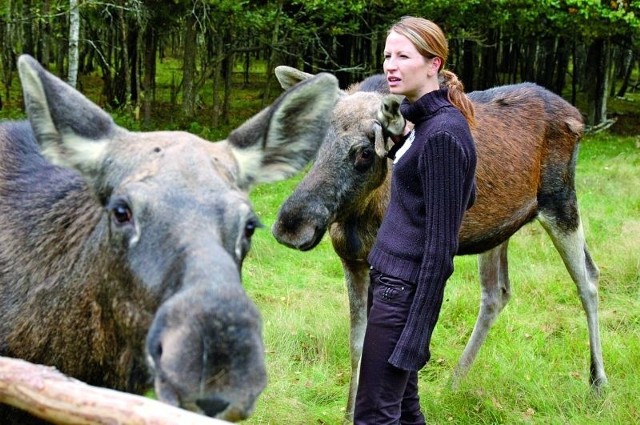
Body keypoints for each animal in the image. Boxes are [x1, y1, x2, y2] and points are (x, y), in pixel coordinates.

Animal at [272, 66, 608, 420]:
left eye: (365, 152)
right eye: (315, 142)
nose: (292, 226)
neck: (360, 217)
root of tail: (578, 117)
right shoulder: (352, 260)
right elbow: (357, 343)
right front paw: (349, 413)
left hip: (559, 199)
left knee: (588, 278)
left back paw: (598, 382)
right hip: (500, 227)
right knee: (497, 292)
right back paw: (455, 381)